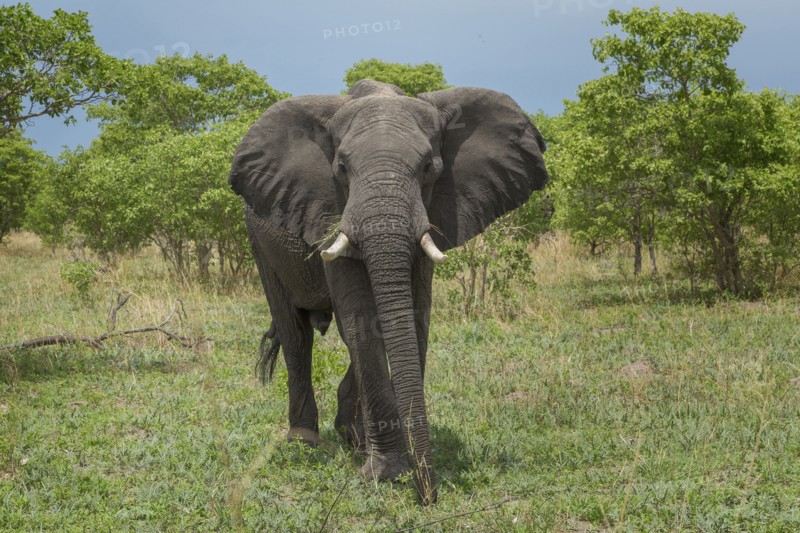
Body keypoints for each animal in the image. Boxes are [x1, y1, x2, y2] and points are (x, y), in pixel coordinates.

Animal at [228, 79, 548, 504]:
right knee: (295, 335)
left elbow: (413, 318)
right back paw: (305, 441)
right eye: (341, 169)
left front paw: (385, 462)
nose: (428, 496)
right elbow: (362, 321)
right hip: (260, 244)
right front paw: (387, 474)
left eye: (429, 168)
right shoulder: (328, 207)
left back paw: (351, 436)